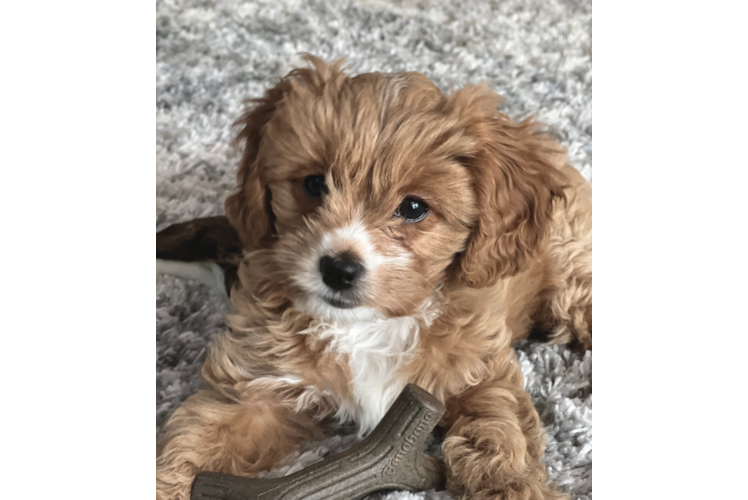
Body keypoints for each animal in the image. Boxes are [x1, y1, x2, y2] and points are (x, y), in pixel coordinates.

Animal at [156, 55, 592, 500]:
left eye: (414, 208)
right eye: (315, 184)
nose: (339, 269)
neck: (369, 324)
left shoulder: (481, 369)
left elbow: (498, 426)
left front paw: (512, 485)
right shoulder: (258, 386)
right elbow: (197, 438)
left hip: (571, 273)